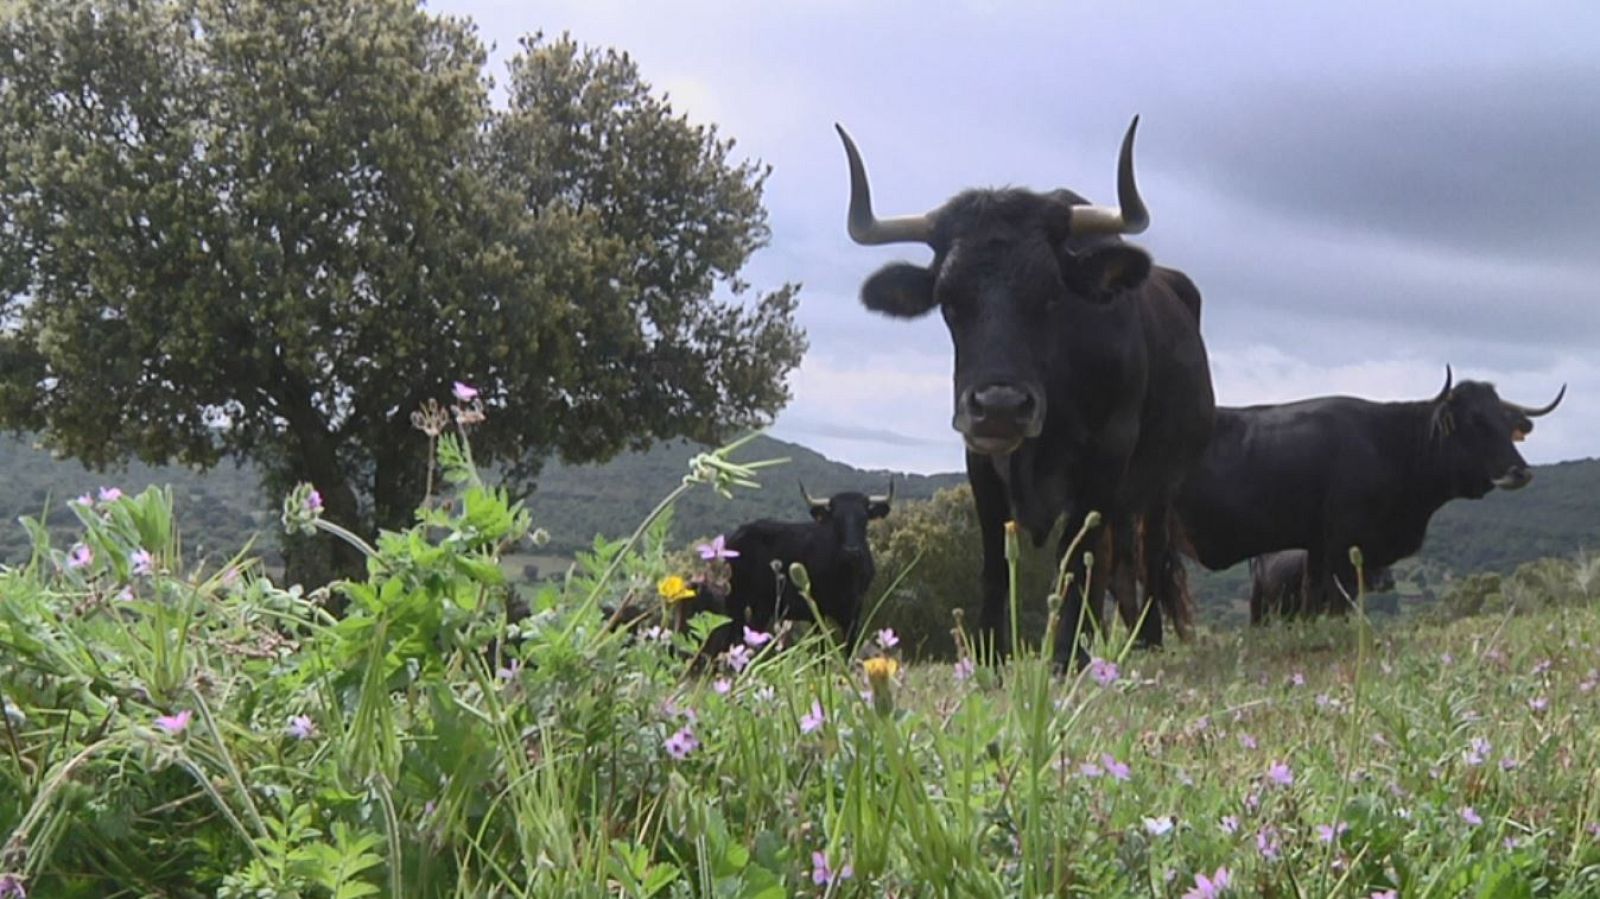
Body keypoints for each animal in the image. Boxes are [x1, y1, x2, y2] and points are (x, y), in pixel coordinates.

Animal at [723, 481, 894, 652]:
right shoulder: (817, 610)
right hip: (736, 602)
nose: (851, 551)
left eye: (864, 518)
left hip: (759, 607)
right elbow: (822, 647)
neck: (846, 575)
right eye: (836, 519)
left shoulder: (854, 612)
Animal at [834, 117, 1215, 669]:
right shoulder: (979, 458)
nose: (1000, 408)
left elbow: (1077, 559)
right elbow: (997, 559)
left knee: (1147, 554)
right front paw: (990, 654)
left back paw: (1145, 640)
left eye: (1052, 293)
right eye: (948, 299)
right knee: (1119, 560)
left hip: (1162, 482)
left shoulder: (1108, 453)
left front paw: (1066, 655)